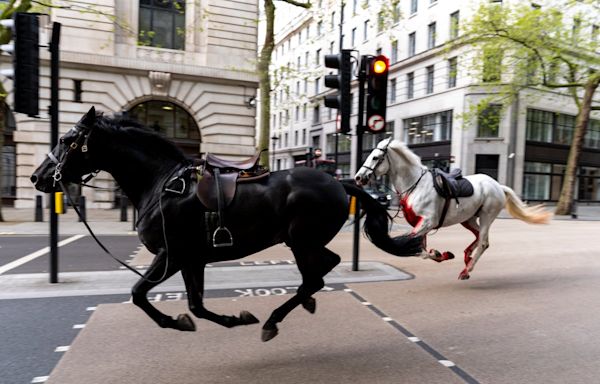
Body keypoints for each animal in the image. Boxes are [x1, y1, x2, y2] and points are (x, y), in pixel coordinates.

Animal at [29, 107, 422, 342]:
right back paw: (301, 304)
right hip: (302, 241)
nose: (37, 177)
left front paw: (178, 322)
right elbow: (195, 305)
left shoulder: (172, 255)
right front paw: (228, 319)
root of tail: (339, 182)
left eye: (66, 140)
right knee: (322, 271)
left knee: (317, 274)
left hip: (300, 240)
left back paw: (274, 319)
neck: (161, 183)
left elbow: (139, 293)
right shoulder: (191, 259)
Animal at [354, 138, 552, 280]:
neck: (415, 185)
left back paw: (467, 270)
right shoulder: (421, 224)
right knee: (479, 237)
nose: (358, 177)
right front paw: (440, 254)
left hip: (487, 216)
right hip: (469, 219)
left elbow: (408, 246)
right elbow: (419, 248)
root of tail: (497, 185)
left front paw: (440, 254)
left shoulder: (427, 222)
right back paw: (467, 258)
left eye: (375, 157)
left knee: (483, 242)